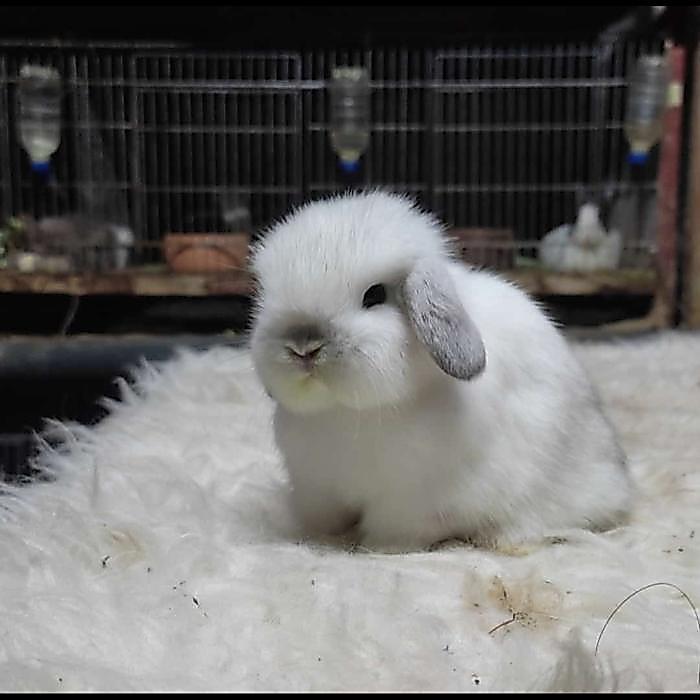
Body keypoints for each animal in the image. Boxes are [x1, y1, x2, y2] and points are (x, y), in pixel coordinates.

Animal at [249, 190, 633, 553]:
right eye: (266, 295)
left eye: (375, 295)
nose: (303, 346)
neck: (344, 412)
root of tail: (618, 482)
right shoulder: (316, 489)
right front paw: (316, 538)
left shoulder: (409, 501)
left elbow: (396, 530)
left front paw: (380, 549)